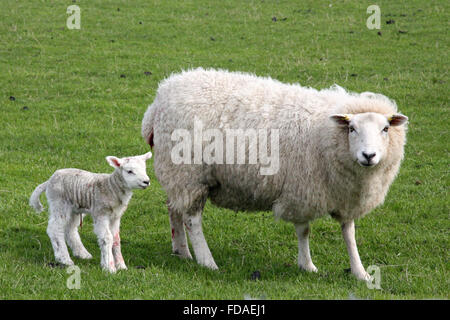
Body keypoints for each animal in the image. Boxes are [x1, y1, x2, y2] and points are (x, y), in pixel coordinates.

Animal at [142, 67, 408, 280]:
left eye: (385, 129)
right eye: (352, 129)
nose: (368, 155)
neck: (327, 136)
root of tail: (159, 100)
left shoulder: (345, 195)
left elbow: (349, 233)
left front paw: (360, 273)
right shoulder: (302, 189)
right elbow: (304, 230)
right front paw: (307, 265)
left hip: (177, 176)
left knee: (174, 209)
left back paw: (182, 251)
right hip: (190, 175)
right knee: (192, 219)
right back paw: (207, 261)